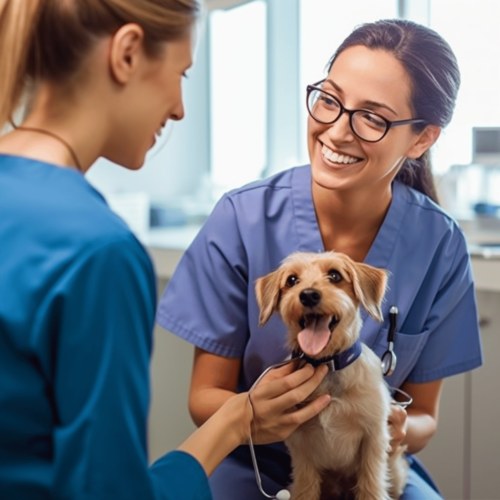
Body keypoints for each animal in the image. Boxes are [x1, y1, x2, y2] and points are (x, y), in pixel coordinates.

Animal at [256, 252, 408, 500]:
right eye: (291, 280)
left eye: (335, 275)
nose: (308, 295)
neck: (328, 367)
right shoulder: (300, 444)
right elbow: (306, 487)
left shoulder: (373, 437)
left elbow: (371, 483)